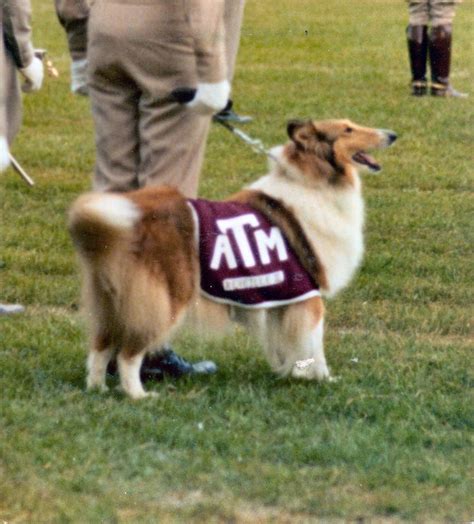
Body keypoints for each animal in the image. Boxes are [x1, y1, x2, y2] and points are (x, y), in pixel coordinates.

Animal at [69, 119, 396, 398]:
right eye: (348, 129)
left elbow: (282, 342)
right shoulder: (309, 293)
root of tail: (127, 220)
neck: (315, 183)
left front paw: (289, 372)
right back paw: (139, 395)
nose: (392, 135)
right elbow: (315, 345)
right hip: (164, 299)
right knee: (128, 354)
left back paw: (98, 389)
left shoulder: (283, 296)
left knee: (100, 348)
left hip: (111, 301)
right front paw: (325, 379)